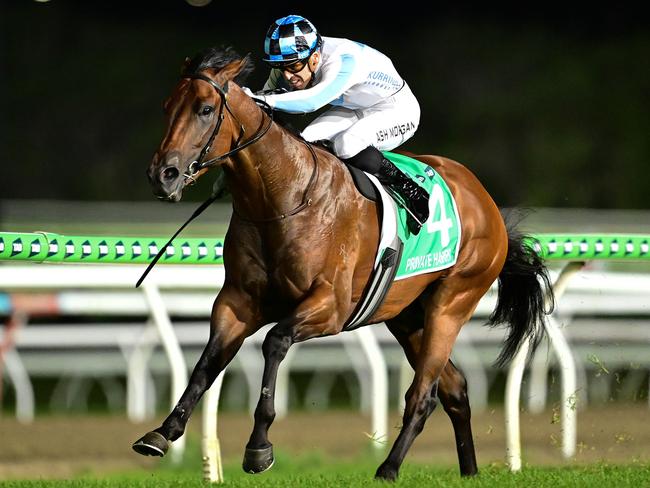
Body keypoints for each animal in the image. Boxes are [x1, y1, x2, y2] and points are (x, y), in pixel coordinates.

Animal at [133, 47, 552, 482]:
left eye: (205, 108)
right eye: (167, 107)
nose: (162, 175)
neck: (282, 197)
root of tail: (484, 199)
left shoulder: (330, 307)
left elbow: (274, 342)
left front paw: (259, 446)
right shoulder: (237, 302)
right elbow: (207, 363)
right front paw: (163, 431)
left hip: (452, 302)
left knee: (423, 394)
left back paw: (388, 468)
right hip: (406, 316)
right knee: (454, 389)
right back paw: (468, 471)